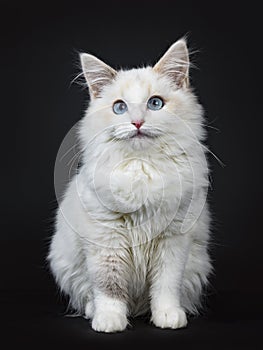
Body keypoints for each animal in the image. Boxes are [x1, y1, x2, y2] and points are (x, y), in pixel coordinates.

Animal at [48, 39, 212, 334]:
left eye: (155, 103)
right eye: (120, 108)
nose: (136, 123)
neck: (141, 168)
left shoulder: (173, 240)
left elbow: (166, 286)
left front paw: (168, 316)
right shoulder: (106, 239)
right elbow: (109, 288)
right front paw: (110, 320)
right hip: (68, 263)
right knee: (88, 295)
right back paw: (95, 312)